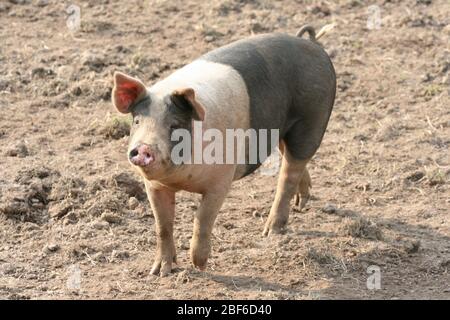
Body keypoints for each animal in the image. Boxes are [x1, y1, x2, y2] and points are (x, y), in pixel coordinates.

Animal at [110, 25, 336, 276]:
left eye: (175, 125)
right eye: (137, 121)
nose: (143, 148)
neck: (182, 178)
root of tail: (312, 44)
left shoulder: (221, 180)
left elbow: (202, 218)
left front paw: (199, 265)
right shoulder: (155, 186)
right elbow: (163, 225)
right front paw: (159, 272)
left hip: (312, 118)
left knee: (290, 171)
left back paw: (270, 232)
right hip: (281, 127)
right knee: (291, 160)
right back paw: (301, 204)